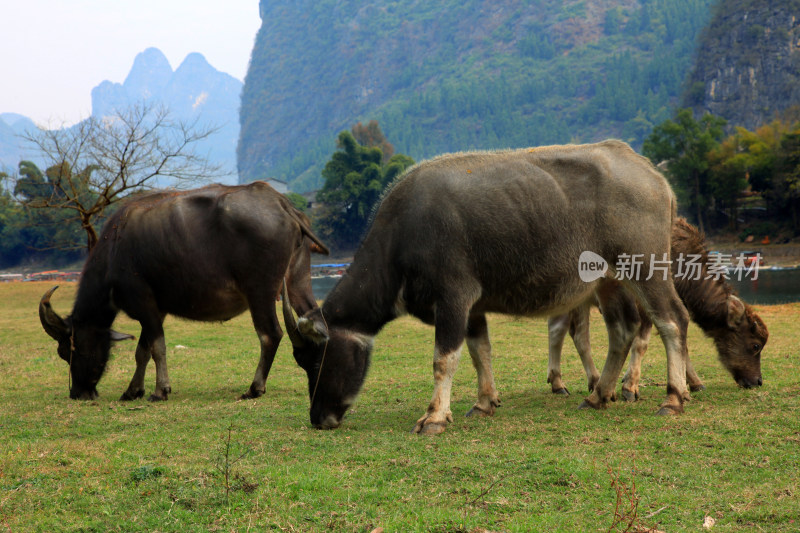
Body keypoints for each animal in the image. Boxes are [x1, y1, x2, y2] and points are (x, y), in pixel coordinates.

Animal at [39, 181, 328, 402]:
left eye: (66, 352)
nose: (78, 393)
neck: (114, 250)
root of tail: (281, 203)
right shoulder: (156, 311)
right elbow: (142, 351)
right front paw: (133, 390)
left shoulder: (144, 304)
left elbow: (157, 347)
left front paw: (160, 391)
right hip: (298, 281)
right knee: (318, 324)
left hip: (261, 292)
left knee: (270, 335)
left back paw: (254, 388)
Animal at [286, 140, 692, 432]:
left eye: (316, 357)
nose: (318, 418)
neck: (402, 237)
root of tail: (654, 176)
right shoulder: (473, 307)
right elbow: (480, 351)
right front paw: (484, 403)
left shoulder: (453, 298)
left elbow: (444, 359)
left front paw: (434, 417)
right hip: (608, 282)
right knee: (623, 330)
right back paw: (598, 395)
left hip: (645, 268)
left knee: (672, 320)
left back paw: (672, 398)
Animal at [548, 216, 764, 400]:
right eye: (755, 345)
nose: (758, 381)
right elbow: (641, 344)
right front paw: (630, 388)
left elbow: (681, 344)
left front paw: (694, 383)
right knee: (572, 335)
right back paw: (581, 382)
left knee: (565, 333)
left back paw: (569, 383)